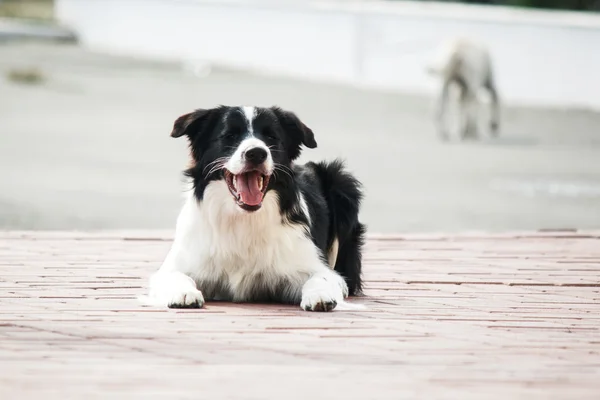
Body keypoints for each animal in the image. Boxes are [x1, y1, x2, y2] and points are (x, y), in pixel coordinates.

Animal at [139, 106, 366, 312]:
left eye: (271, 137)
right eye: (230, 135)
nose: (256, 153)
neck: (243, 218)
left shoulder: (316, 267)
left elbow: (321, 278)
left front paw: (320, 295)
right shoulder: (175, 266)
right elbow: (175, 276)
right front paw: (185, 293)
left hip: (342, 183)